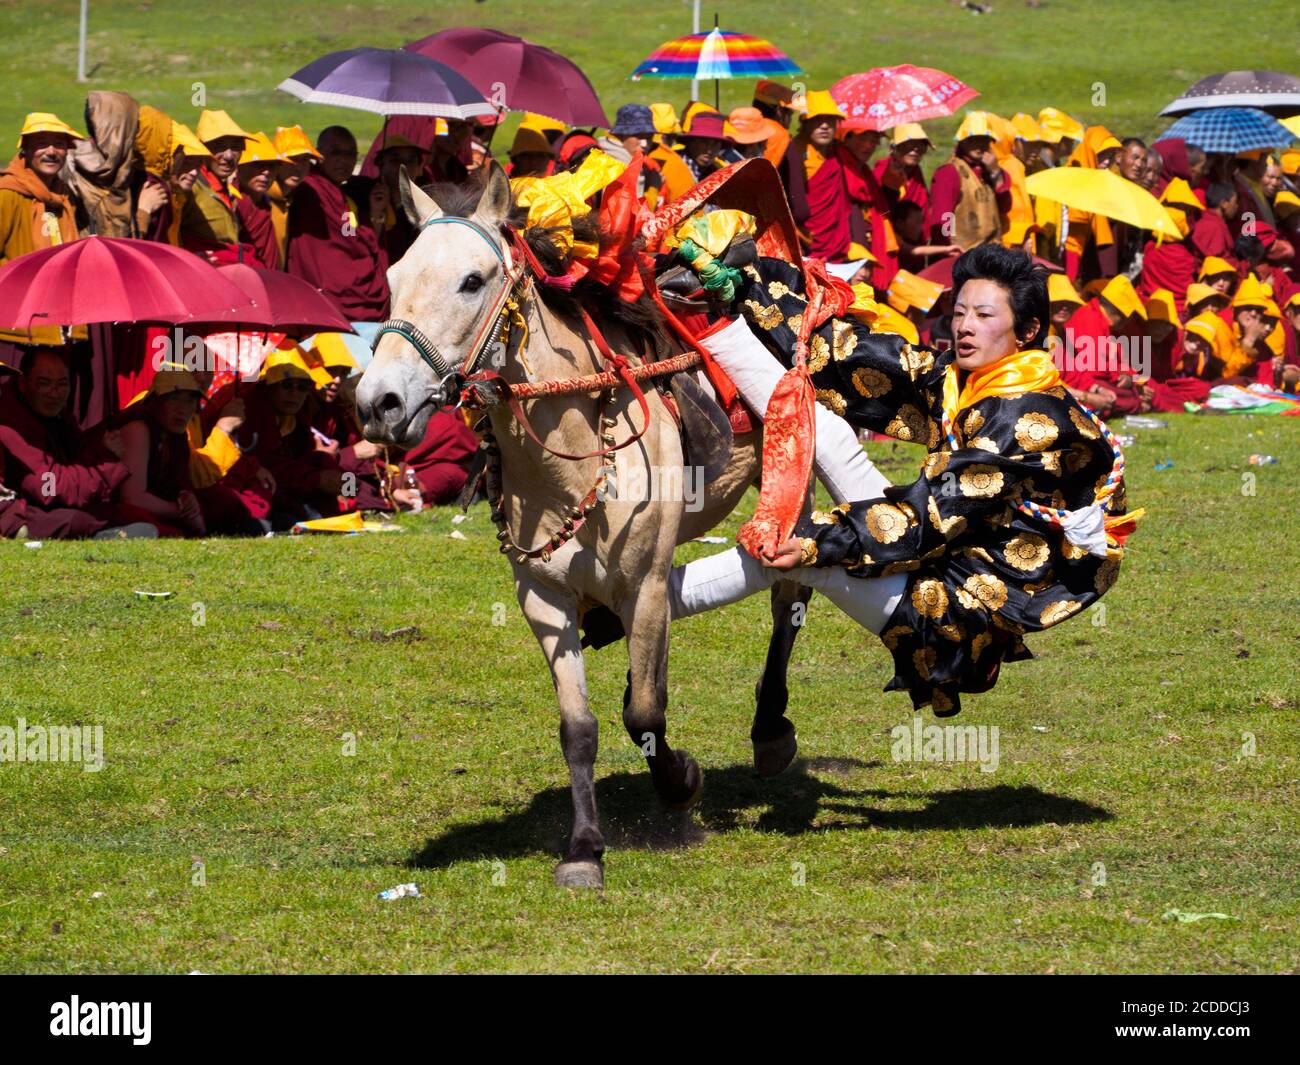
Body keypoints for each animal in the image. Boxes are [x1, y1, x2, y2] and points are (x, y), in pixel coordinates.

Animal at [351, 160, 806, 889]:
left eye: (473, 280)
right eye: (392, 279)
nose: (379, 404)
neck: (574, 449)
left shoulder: (643, 585)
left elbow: (644, 712)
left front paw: (680, 782)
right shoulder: (542, 598)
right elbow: (581, 726)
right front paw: (586, 847)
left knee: (787, 598)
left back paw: (770, 730)